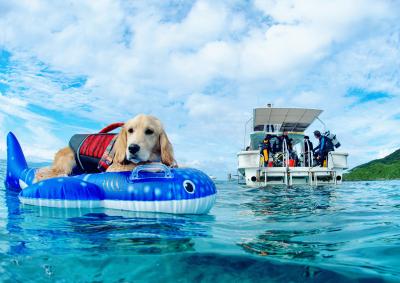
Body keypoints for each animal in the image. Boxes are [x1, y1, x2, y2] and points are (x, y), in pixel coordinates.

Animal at [35, 115, 176, 182]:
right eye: (130, 130)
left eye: (150, 131)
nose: (132, 148)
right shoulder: (114, 167)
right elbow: (140, 164)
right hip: (68, 159)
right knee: (42, 172)